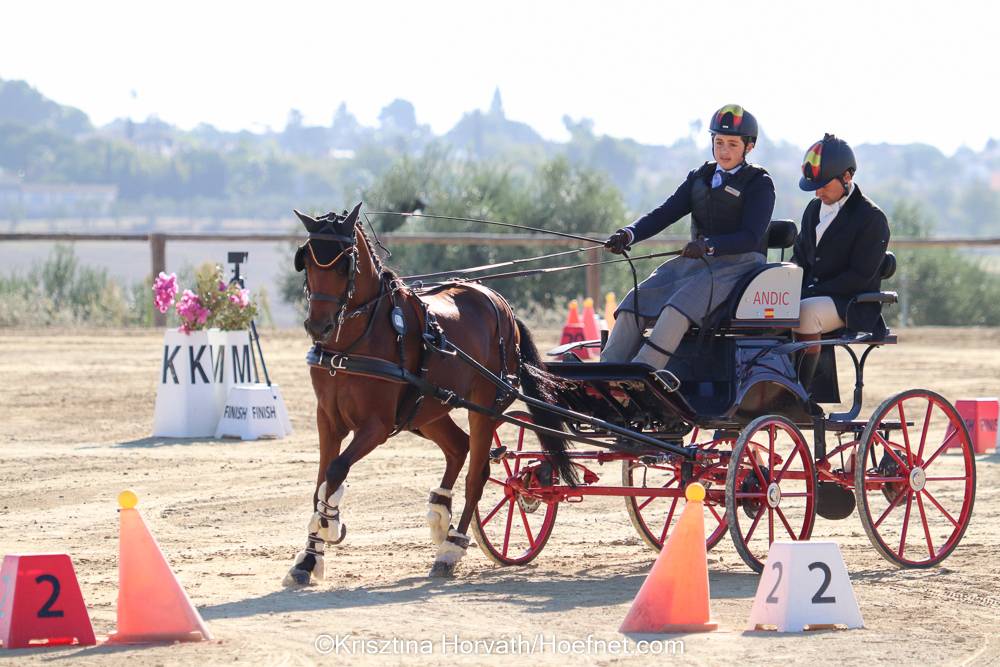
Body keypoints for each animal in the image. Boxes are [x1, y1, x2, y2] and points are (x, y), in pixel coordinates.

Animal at [284, 202, 575, 584]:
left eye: (345, 263)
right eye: (306, 259)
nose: (318, 325)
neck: (350, 344)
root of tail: (500, 303)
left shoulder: (376, 426)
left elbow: (335, 471)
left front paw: (330, 524)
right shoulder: (327, 420)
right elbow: (321, 480)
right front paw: (308, 558)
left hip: (483, 407)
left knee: (477, 474)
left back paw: (451, 548)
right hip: (428, 409)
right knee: (459, 447)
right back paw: (440, 515)